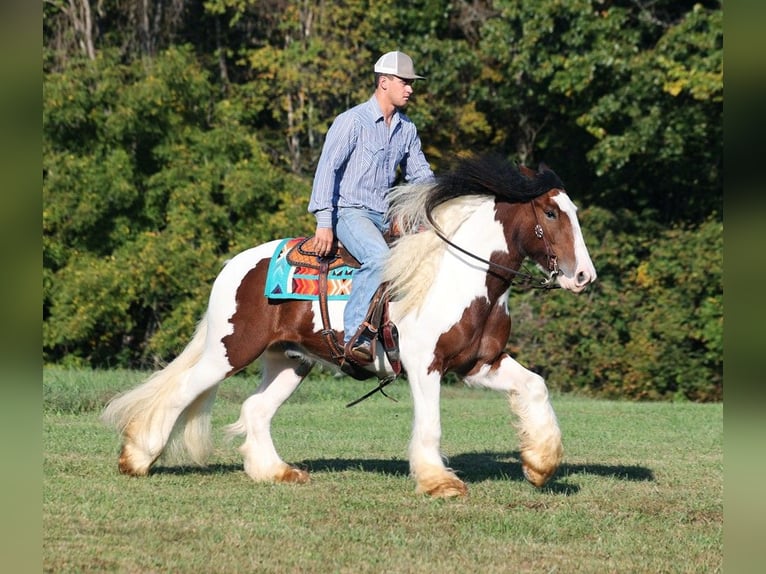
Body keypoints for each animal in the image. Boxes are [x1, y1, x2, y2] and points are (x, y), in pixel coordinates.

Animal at [102, 154, 596, 500]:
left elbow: (535, 387)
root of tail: (235, 266)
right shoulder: (424, 365)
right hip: (230, 351)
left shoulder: (481, 363)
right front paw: (439, 482)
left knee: (255, 410)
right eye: (551, 214)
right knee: (180, 392)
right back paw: (137, 458)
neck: (457, 276)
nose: (584, 276)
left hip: (290, 361)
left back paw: (275, 472)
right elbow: (431, 424)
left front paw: (540, 465)